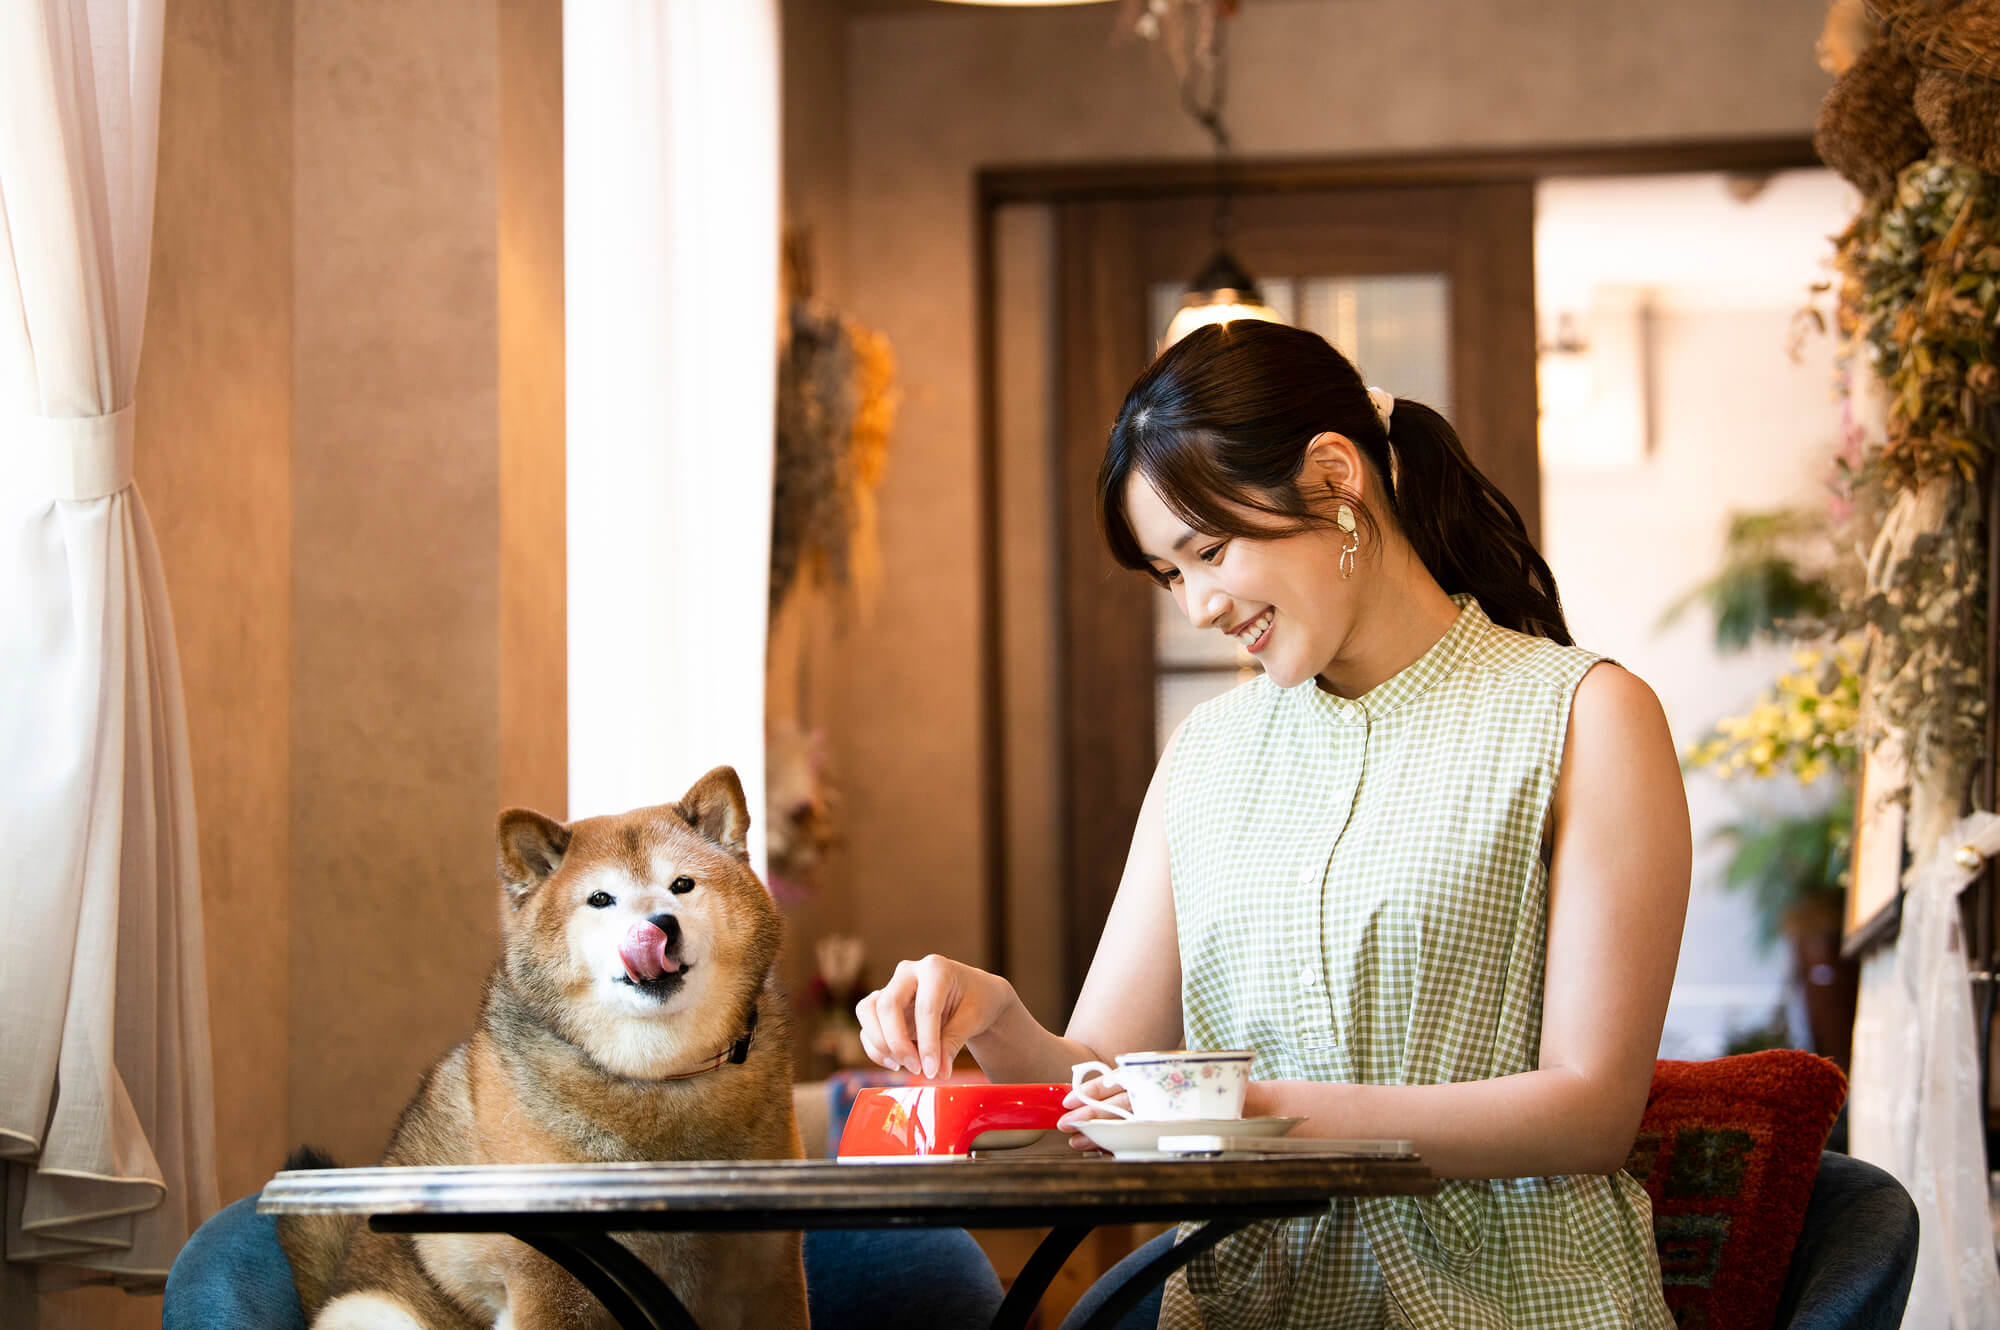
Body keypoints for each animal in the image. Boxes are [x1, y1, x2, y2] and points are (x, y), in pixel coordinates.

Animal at [278, 768, 808, 1328]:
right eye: (600, 899)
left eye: (682, 885)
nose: (659, 925)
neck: (656, 1078)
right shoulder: (550, 1278)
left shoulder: (768, 1269)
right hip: (373, 1309)